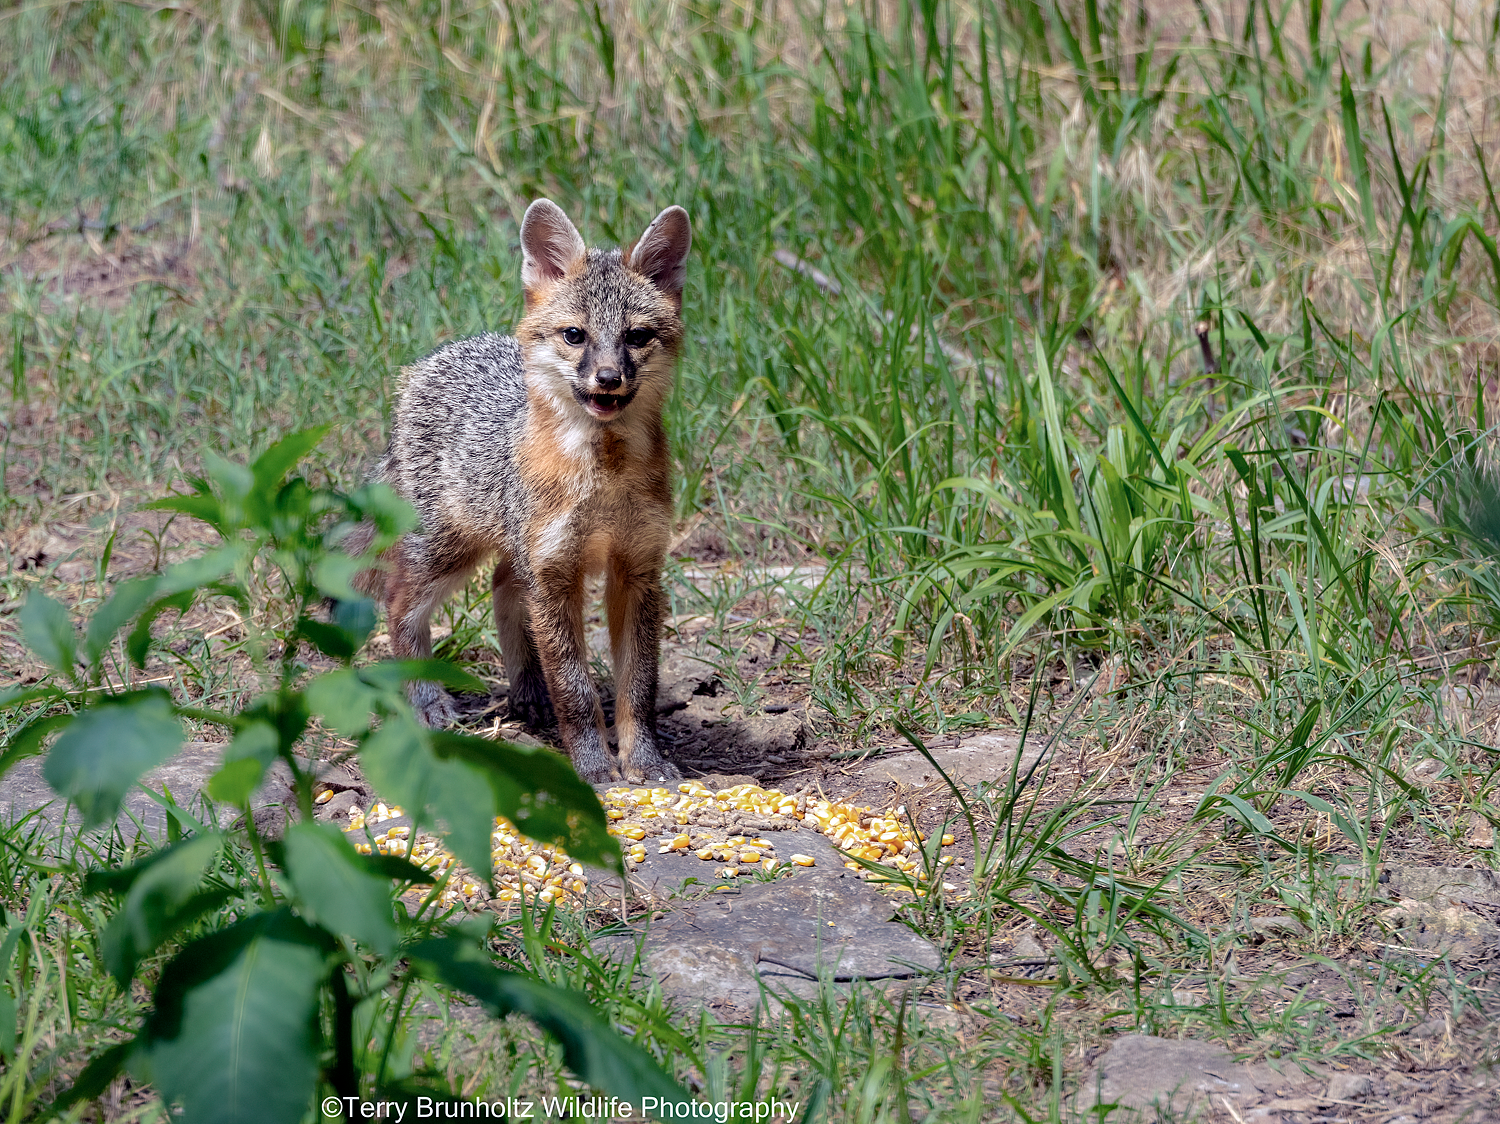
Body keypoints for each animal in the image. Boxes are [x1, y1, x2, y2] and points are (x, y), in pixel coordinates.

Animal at [353, 199, 690, 785]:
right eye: (575, 335)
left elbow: (639, 688)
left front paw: (645, 762)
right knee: (399, 607)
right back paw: (425, 699)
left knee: (503, 589)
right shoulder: (555, 575)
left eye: (637, 337)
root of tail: (430, 362)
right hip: (447, 553)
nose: (608, 378)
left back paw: (528, 691)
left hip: (511, 552)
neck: (603, 477)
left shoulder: (637, 569)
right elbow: (576, 689)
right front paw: (593, 770)